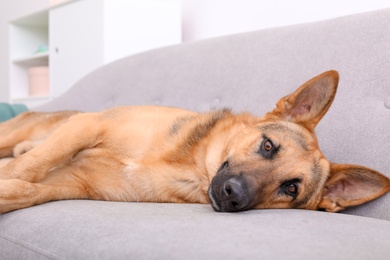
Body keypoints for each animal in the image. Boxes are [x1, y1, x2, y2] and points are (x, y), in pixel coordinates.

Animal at [0, 70, 390, 212]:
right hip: (19, 132)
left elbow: (26, 188)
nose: (234, 196)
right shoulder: (87, 125)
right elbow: (31, 165)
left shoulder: (69, 184)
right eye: (268, 146)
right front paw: (13, 173)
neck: (192, 166)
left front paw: (8, 188)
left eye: (290, 188)